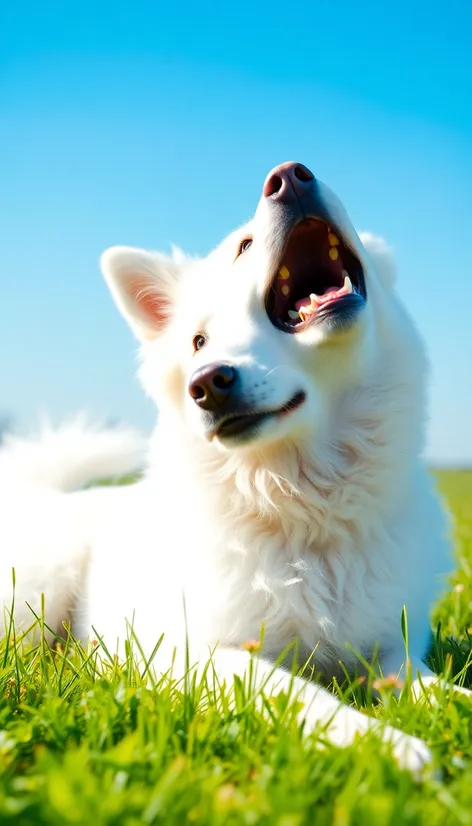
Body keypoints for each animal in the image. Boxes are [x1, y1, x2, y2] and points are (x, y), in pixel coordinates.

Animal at [0, 163, 464, 772]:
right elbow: (305, 697)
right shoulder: (206, 654)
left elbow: (430, 685)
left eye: (246, 245)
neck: (306, 505)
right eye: (198, 343)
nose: (209, 385)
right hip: (37, 594)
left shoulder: (387, 651)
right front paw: (387, 746)